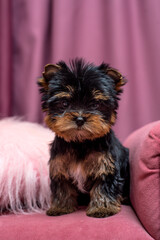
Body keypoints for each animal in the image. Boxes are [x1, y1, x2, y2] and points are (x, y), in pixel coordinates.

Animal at [38, 58, 129, 218]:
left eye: (95, 104)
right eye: (65, 103)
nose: (80, 119)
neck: (80, 141)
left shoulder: (105, 164)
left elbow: (103, 186)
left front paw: (102, 208)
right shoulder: (59, 165)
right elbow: (62, 187)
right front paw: (60, 207)